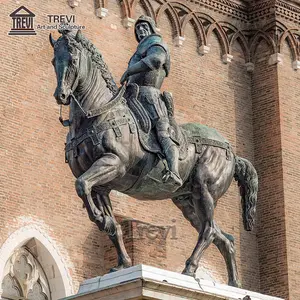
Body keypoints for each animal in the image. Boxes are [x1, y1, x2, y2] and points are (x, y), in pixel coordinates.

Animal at [49, 29, 258, 288]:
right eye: (54, 61)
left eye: (73, 60)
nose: (61, 95)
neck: (99, 112)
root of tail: (232, 152)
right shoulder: (102, 187)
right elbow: (108, 218)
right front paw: (121, 260)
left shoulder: (112, 164)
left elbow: (81, 185)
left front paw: (99, 218)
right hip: (187, 201)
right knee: (224, 238)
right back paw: (233, 283)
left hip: (204, 191)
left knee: (208, 230)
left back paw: (189, 269)